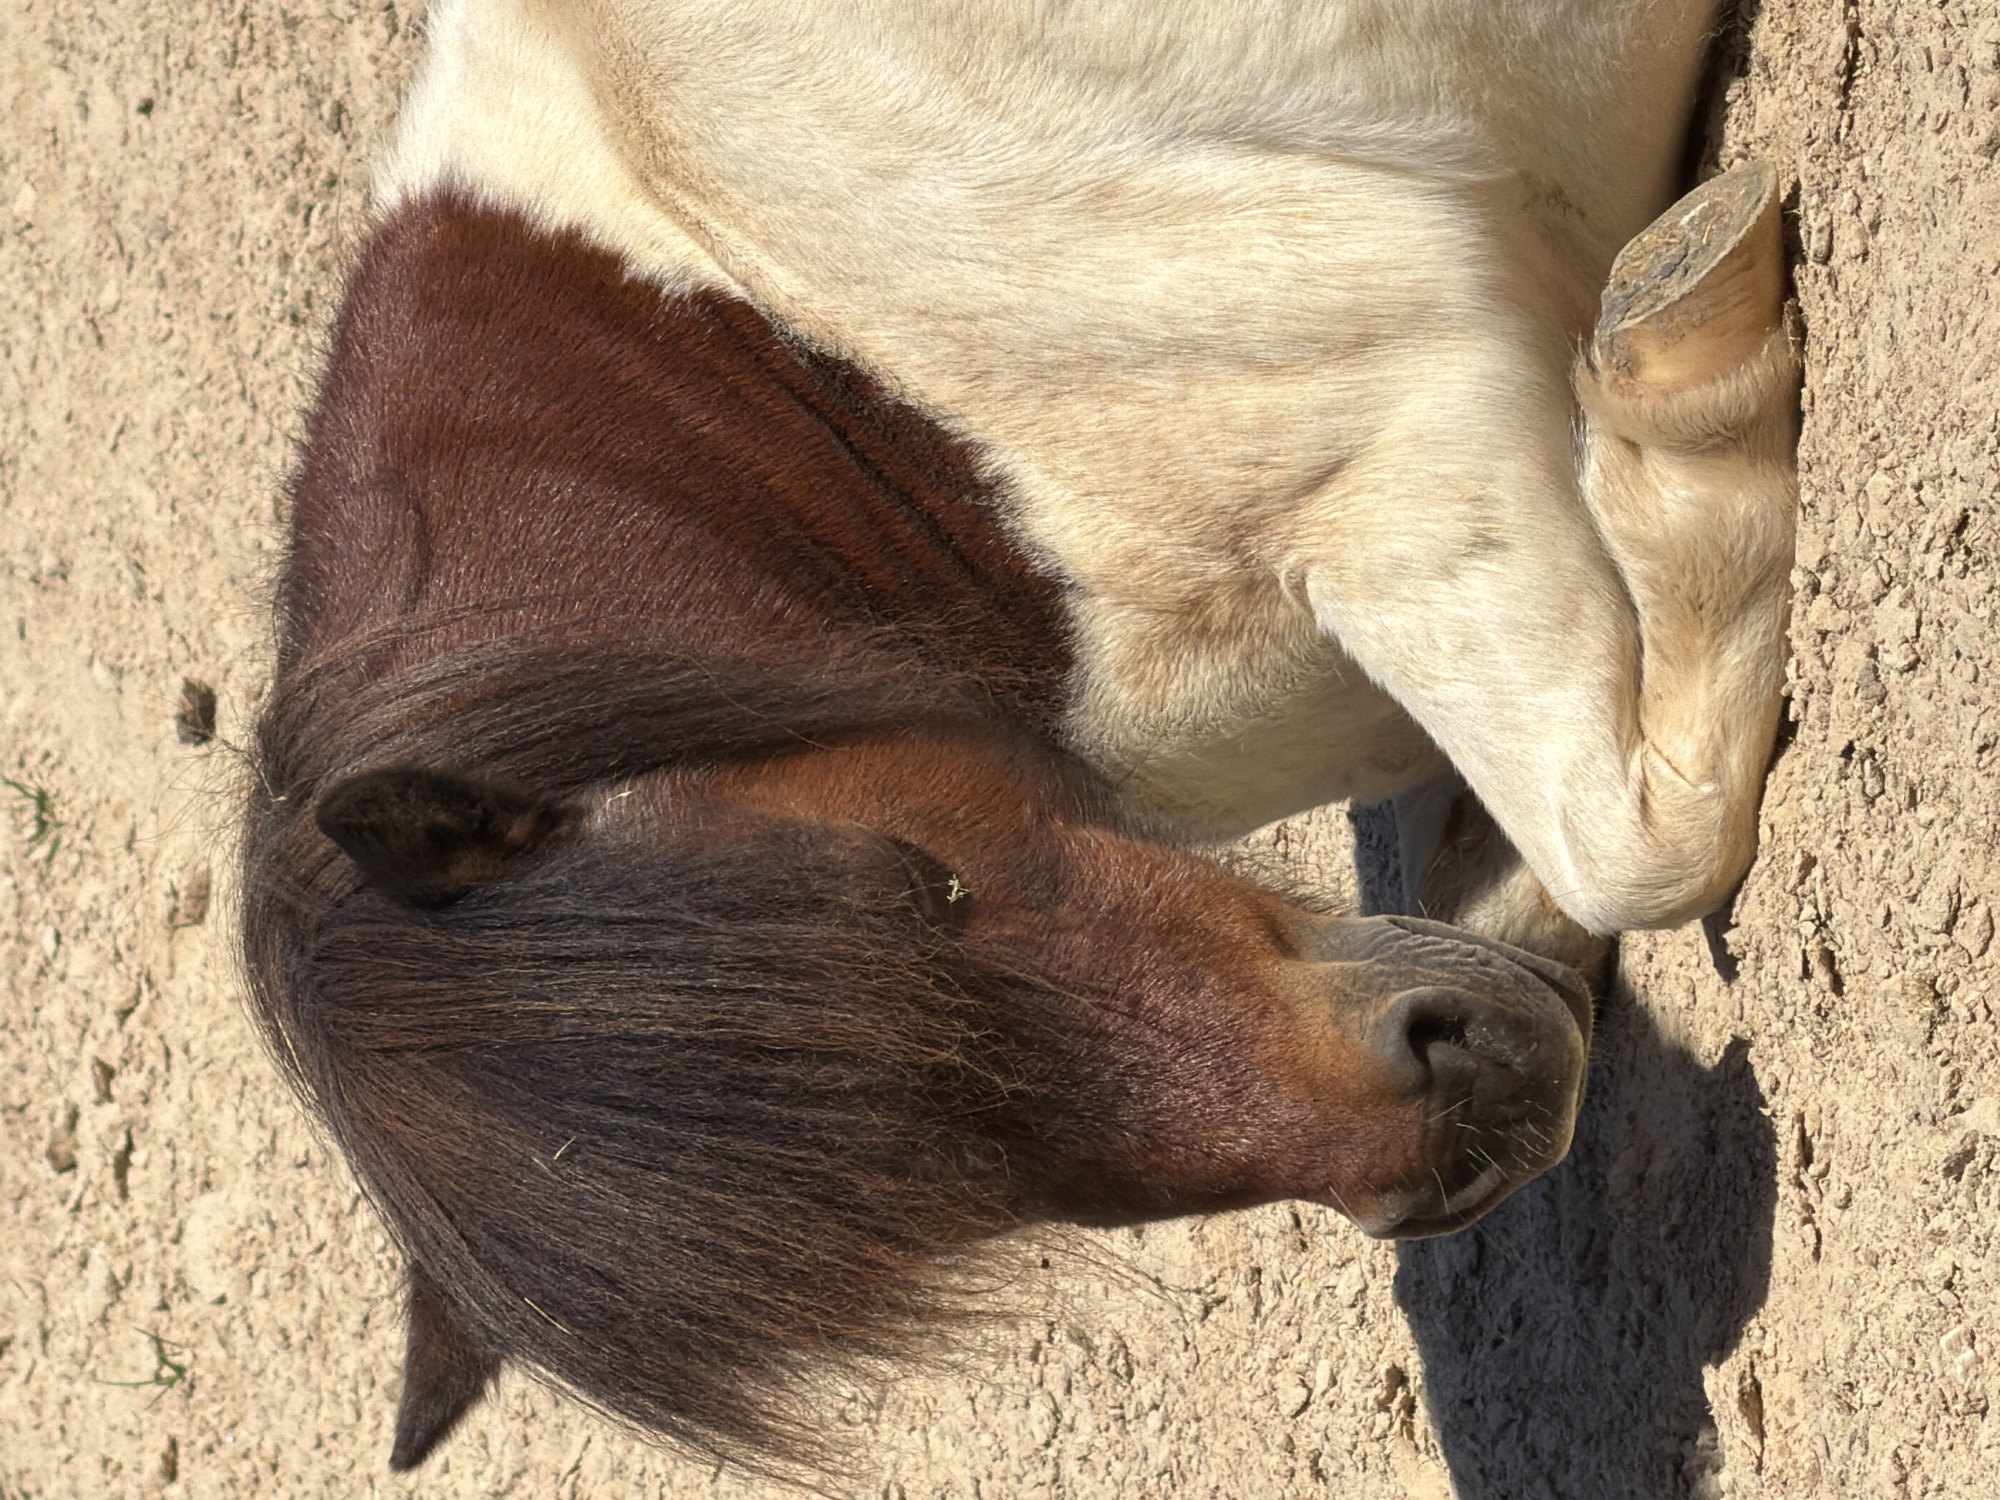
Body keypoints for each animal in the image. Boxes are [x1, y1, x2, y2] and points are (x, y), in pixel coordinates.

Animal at [241, 0, 1799, 1476]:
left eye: (919, 879)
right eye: (902, 1212)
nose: (1471, 1118)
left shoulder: (1404, 462)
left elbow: (1639, 847)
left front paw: (1683, 340)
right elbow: (1529, 887)